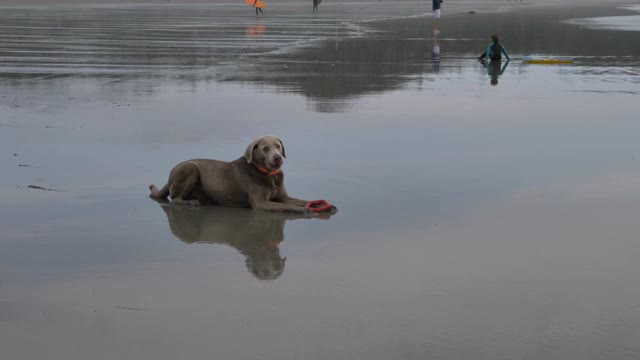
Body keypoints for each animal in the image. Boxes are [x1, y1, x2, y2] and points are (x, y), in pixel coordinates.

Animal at [150, 135, 338, 214]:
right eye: (265, 149)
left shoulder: (283, 195)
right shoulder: (260, 203)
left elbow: (302, 200)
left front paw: (323, 205)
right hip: (189, 167)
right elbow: (289, 205)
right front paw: (304, 210)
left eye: (278, 146)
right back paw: (190, 202)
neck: (269, 174)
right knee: (174, 199)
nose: (277, 158)